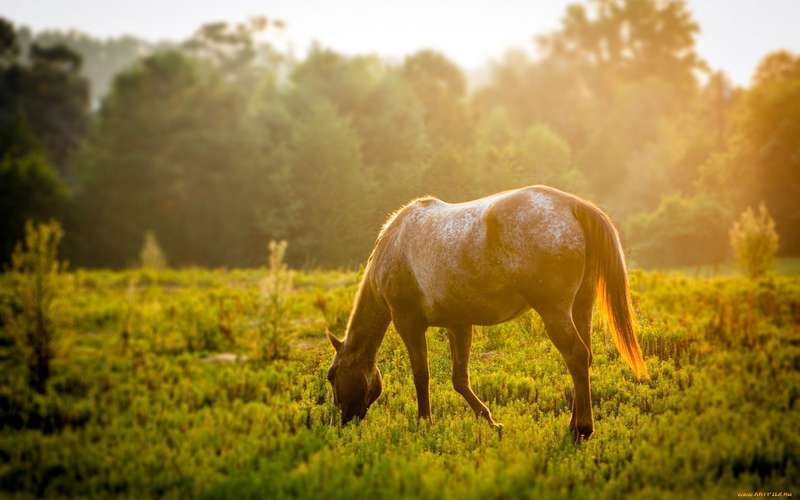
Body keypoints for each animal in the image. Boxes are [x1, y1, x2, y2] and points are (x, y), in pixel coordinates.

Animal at [328, 184, 648, 438]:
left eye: (332, 375)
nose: (342, 422)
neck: (394, 245)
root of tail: (573, 205)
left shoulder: (409, 324)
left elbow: (421, 375)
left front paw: (424, 423)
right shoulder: (459, 325)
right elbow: (459, 379)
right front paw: (490, 422)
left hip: (555, 312)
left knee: (577, 356)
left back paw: (582, 429)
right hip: (581, 308)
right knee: (584, 359)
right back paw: (574, 423)